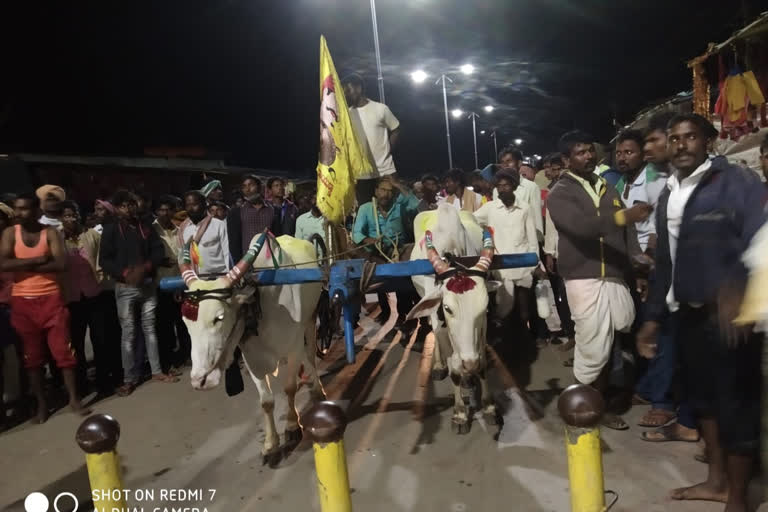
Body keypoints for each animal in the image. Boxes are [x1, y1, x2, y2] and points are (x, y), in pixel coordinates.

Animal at [179, 234, 324, 462]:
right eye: (185, 321)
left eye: (219, 317)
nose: (200, 380)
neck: (259, 306)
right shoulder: (252, 359)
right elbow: (266, 402)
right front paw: (271, 444)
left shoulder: (293, 350)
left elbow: (289, 388)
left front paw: (292, 426)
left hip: (310, 320)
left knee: (310, 357)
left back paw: (318, 389)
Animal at [408, 202, 498, 434]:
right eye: (447, 308)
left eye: (485, 307)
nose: (470, 363)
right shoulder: (439, 321)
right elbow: (454, 371)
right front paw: (459, 414)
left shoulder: (482, 329)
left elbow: (483, 364)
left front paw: (489, 408)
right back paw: (440, 367)